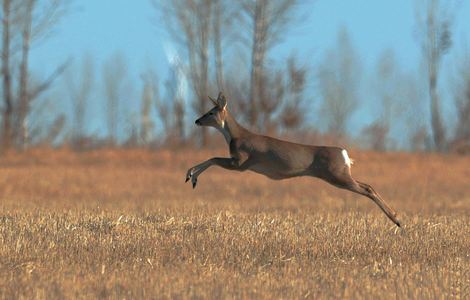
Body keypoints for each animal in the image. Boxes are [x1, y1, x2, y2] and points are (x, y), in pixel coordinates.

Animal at [185, 92, 402, 226]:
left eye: (210, 112)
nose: (196, 120)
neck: (235, 135)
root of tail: (344, 153)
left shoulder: (240, 161)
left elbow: (213, 158)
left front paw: (191, 175)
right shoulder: (239, 163)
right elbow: (212, 158)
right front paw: (191, 177)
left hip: (337, 174)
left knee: (367, 188)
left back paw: (397, 220)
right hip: (339, 174)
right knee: (368, 185)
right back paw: (397, 219)